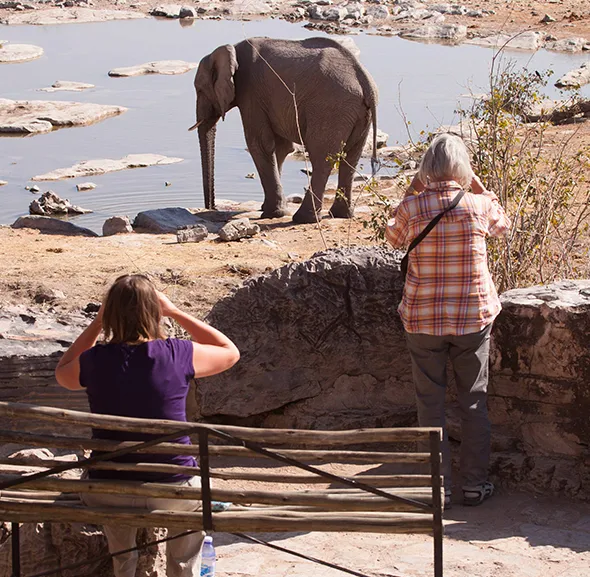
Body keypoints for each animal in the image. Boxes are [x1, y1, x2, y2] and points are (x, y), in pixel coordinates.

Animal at [192, 35, 382, 222]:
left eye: (199, 90)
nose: (211, 207)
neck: (232, 49)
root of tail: (366, 84)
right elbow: (280, 148)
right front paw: (269, 208)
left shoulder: (251, 93)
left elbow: (259, 144)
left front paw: (272, 213)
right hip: (358, 114)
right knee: (351, 157)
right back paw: (341, 215)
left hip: (331, 109)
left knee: (322, 157)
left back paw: (303, 218)